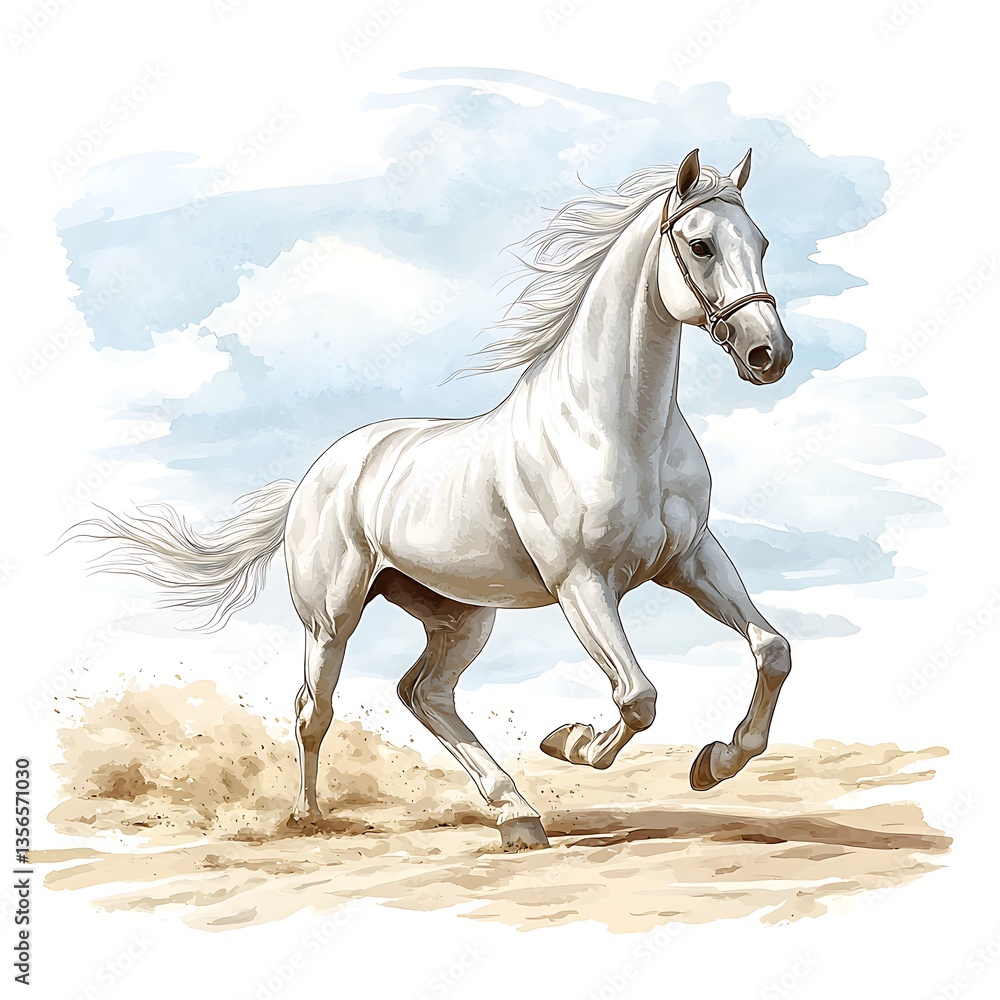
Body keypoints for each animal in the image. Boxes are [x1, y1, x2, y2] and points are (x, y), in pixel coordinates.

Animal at [72, 148, 794, 851]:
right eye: (700, 245)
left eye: (761, 241)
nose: (770, 354)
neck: (615, 427)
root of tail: (315, 477)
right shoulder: (583, 581)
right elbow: (637, 696)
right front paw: (573, 742)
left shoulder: (689, 560)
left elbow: (771, 650)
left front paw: (716, 762)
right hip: (331, 619)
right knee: (315, 710)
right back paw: (309, 817)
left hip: (461, 615)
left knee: (425, 694)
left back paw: (516, 815)